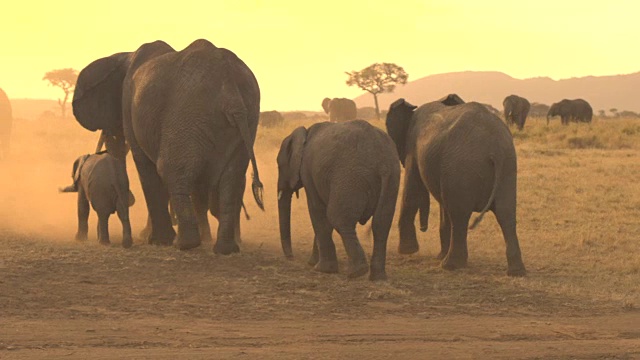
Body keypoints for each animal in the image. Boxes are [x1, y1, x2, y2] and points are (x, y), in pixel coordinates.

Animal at [74, 39, 264, 253]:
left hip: (187, 115)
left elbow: (146, 167)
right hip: (247, 119)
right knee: (232, 177)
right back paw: (225, 249)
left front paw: (158, 241)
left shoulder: (129, 106)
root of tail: (229, 88)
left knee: (171, 170)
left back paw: (185, 244)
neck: (126, 55)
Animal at [276, 119, 398, 280]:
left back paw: (357, 272)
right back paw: (377, 277)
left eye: (279, 165)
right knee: (381, 225)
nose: (291, 257)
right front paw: (313, 263)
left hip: (349, 177)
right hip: (392, 179)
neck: (304, 133)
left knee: (340, 220)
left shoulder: (308, 172)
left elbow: (318, 213)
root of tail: (383, 164)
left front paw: (321, 269)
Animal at [384, 94, 524, 278]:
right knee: (506, 213)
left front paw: (407, 251)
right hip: (506, 166)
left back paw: (449, 265)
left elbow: (412, 192)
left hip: (462, 166)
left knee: (459, 214)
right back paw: (516, 272)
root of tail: (495, 148)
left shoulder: (412, 149)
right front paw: (435, 254)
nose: (423, 228)